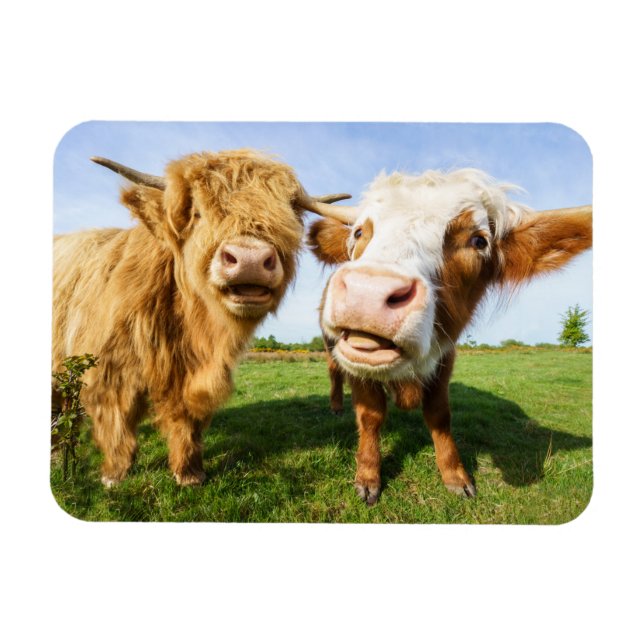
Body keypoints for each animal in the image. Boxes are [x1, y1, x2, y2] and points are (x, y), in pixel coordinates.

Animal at [52, 149, 349, 487]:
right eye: (197, 214)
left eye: (286, 216)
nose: (249, 259)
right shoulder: (109, 371)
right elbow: (116, 421)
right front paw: (114, 475)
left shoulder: (191, 375)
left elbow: (186, 418)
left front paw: (189, 473)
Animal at [307, 168, 592, 505]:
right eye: (360, 232)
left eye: (478, 240)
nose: (368, 292)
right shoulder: (356, 365)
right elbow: (371, 416)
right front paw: (367, 477)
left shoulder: (445, 358)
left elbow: (439, 414)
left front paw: (455, 475)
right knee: (333, 371)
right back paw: (336, 405)